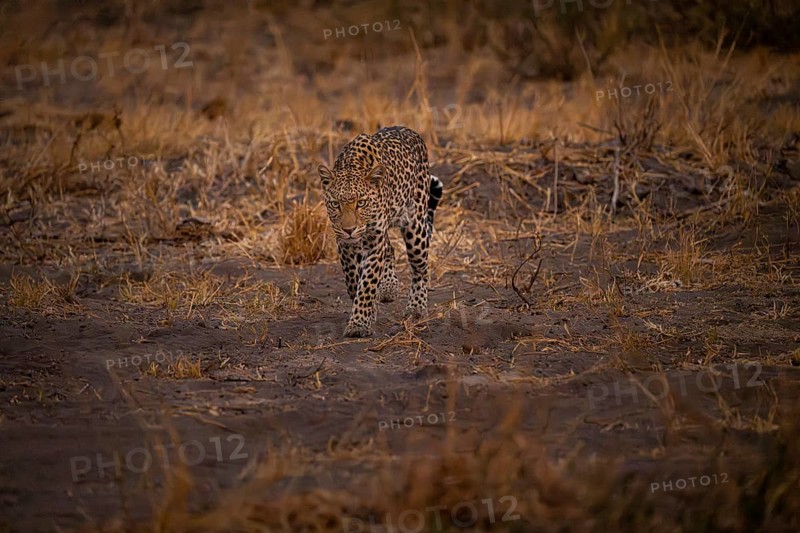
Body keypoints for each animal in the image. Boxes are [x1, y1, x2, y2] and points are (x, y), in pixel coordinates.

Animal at [317, 126, 443, 337]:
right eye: (335, 204)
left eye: (361, 203)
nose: (349, 229)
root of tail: (411, 132)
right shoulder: (345, 244)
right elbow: (353, 280)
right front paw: (369, 312)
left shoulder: (374, 242)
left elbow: (367, 283)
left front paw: (359, 323)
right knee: (390, 249)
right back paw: (388, 287)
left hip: (415, 227)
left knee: (420, 268)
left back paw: (416, 308)